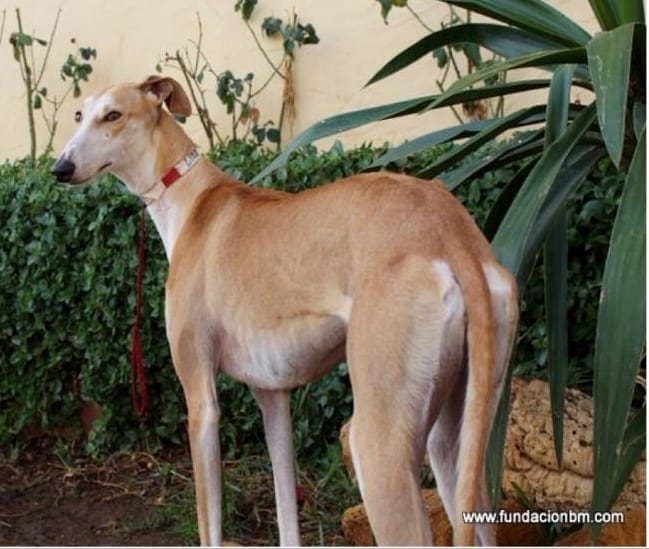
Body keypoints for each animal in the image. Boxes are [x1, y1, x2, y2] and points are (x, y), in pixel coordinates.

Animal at [51, 75, 518, 546]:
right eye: (79, 114)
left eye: (113, 115)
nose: (60, 169)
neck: (191, 198)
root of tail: (450, 234)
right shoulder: (273, 397)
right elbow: (285, 511)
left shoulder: (201, 402)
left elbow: (209, 526)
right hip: (456, 441)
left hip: (378, 444)